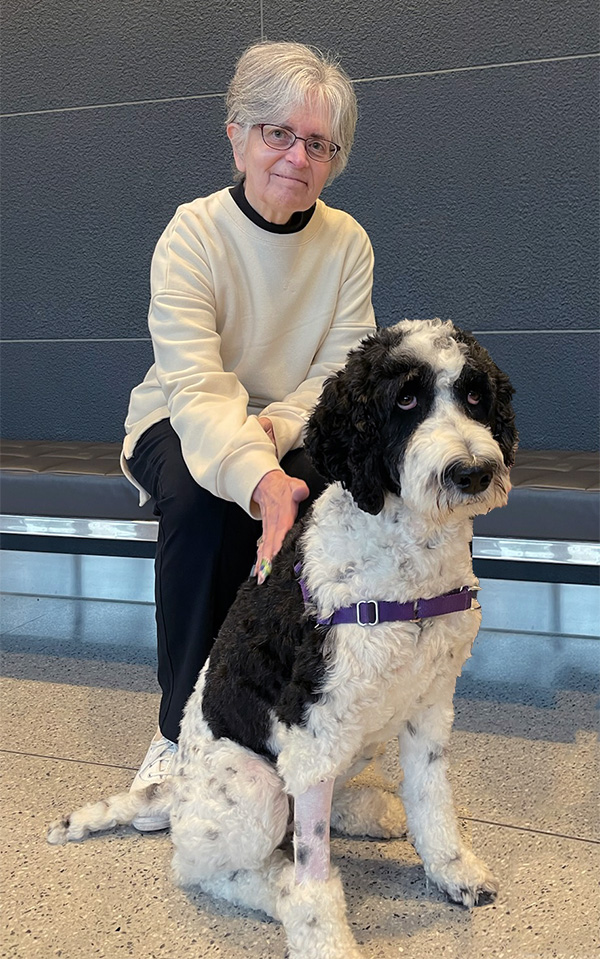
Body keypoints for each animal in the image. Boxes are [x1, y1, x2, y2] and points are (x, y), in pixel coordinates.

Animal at [48, 320, 516, 959]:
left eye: (474, 396)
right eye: (405, 400)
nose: (472, 472)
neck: (408, 570)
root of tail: (176, 791)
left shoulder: (429, 709)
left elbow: (433, 801)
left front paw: (453, 871)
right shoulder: (313, 732)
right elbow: (313, 876)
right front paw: (324, 938)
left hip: (343, 750)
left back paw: (367, 808)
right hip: (256, 786)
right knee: (208, 867)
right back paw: (278, 888)